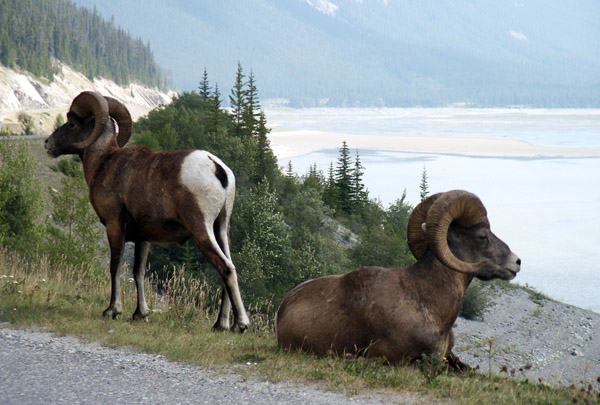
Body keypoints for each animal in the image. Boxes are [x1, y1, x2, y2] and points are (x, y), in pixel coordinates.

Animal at [45, 91, 248, 332]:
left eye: (72, 123)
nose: (47, 143)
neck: (103, 162)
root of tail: (217, 169)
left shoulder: (114, 225)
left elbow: (116, 266)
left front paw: (112, 311)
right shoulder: (144, 238)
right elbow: (138, 272)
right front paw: (140, 314)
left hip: (201, 229)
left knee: (226, 268)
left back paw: (240, 324)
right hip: (222, 228)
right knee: (229, 267)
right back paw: (223, 325)